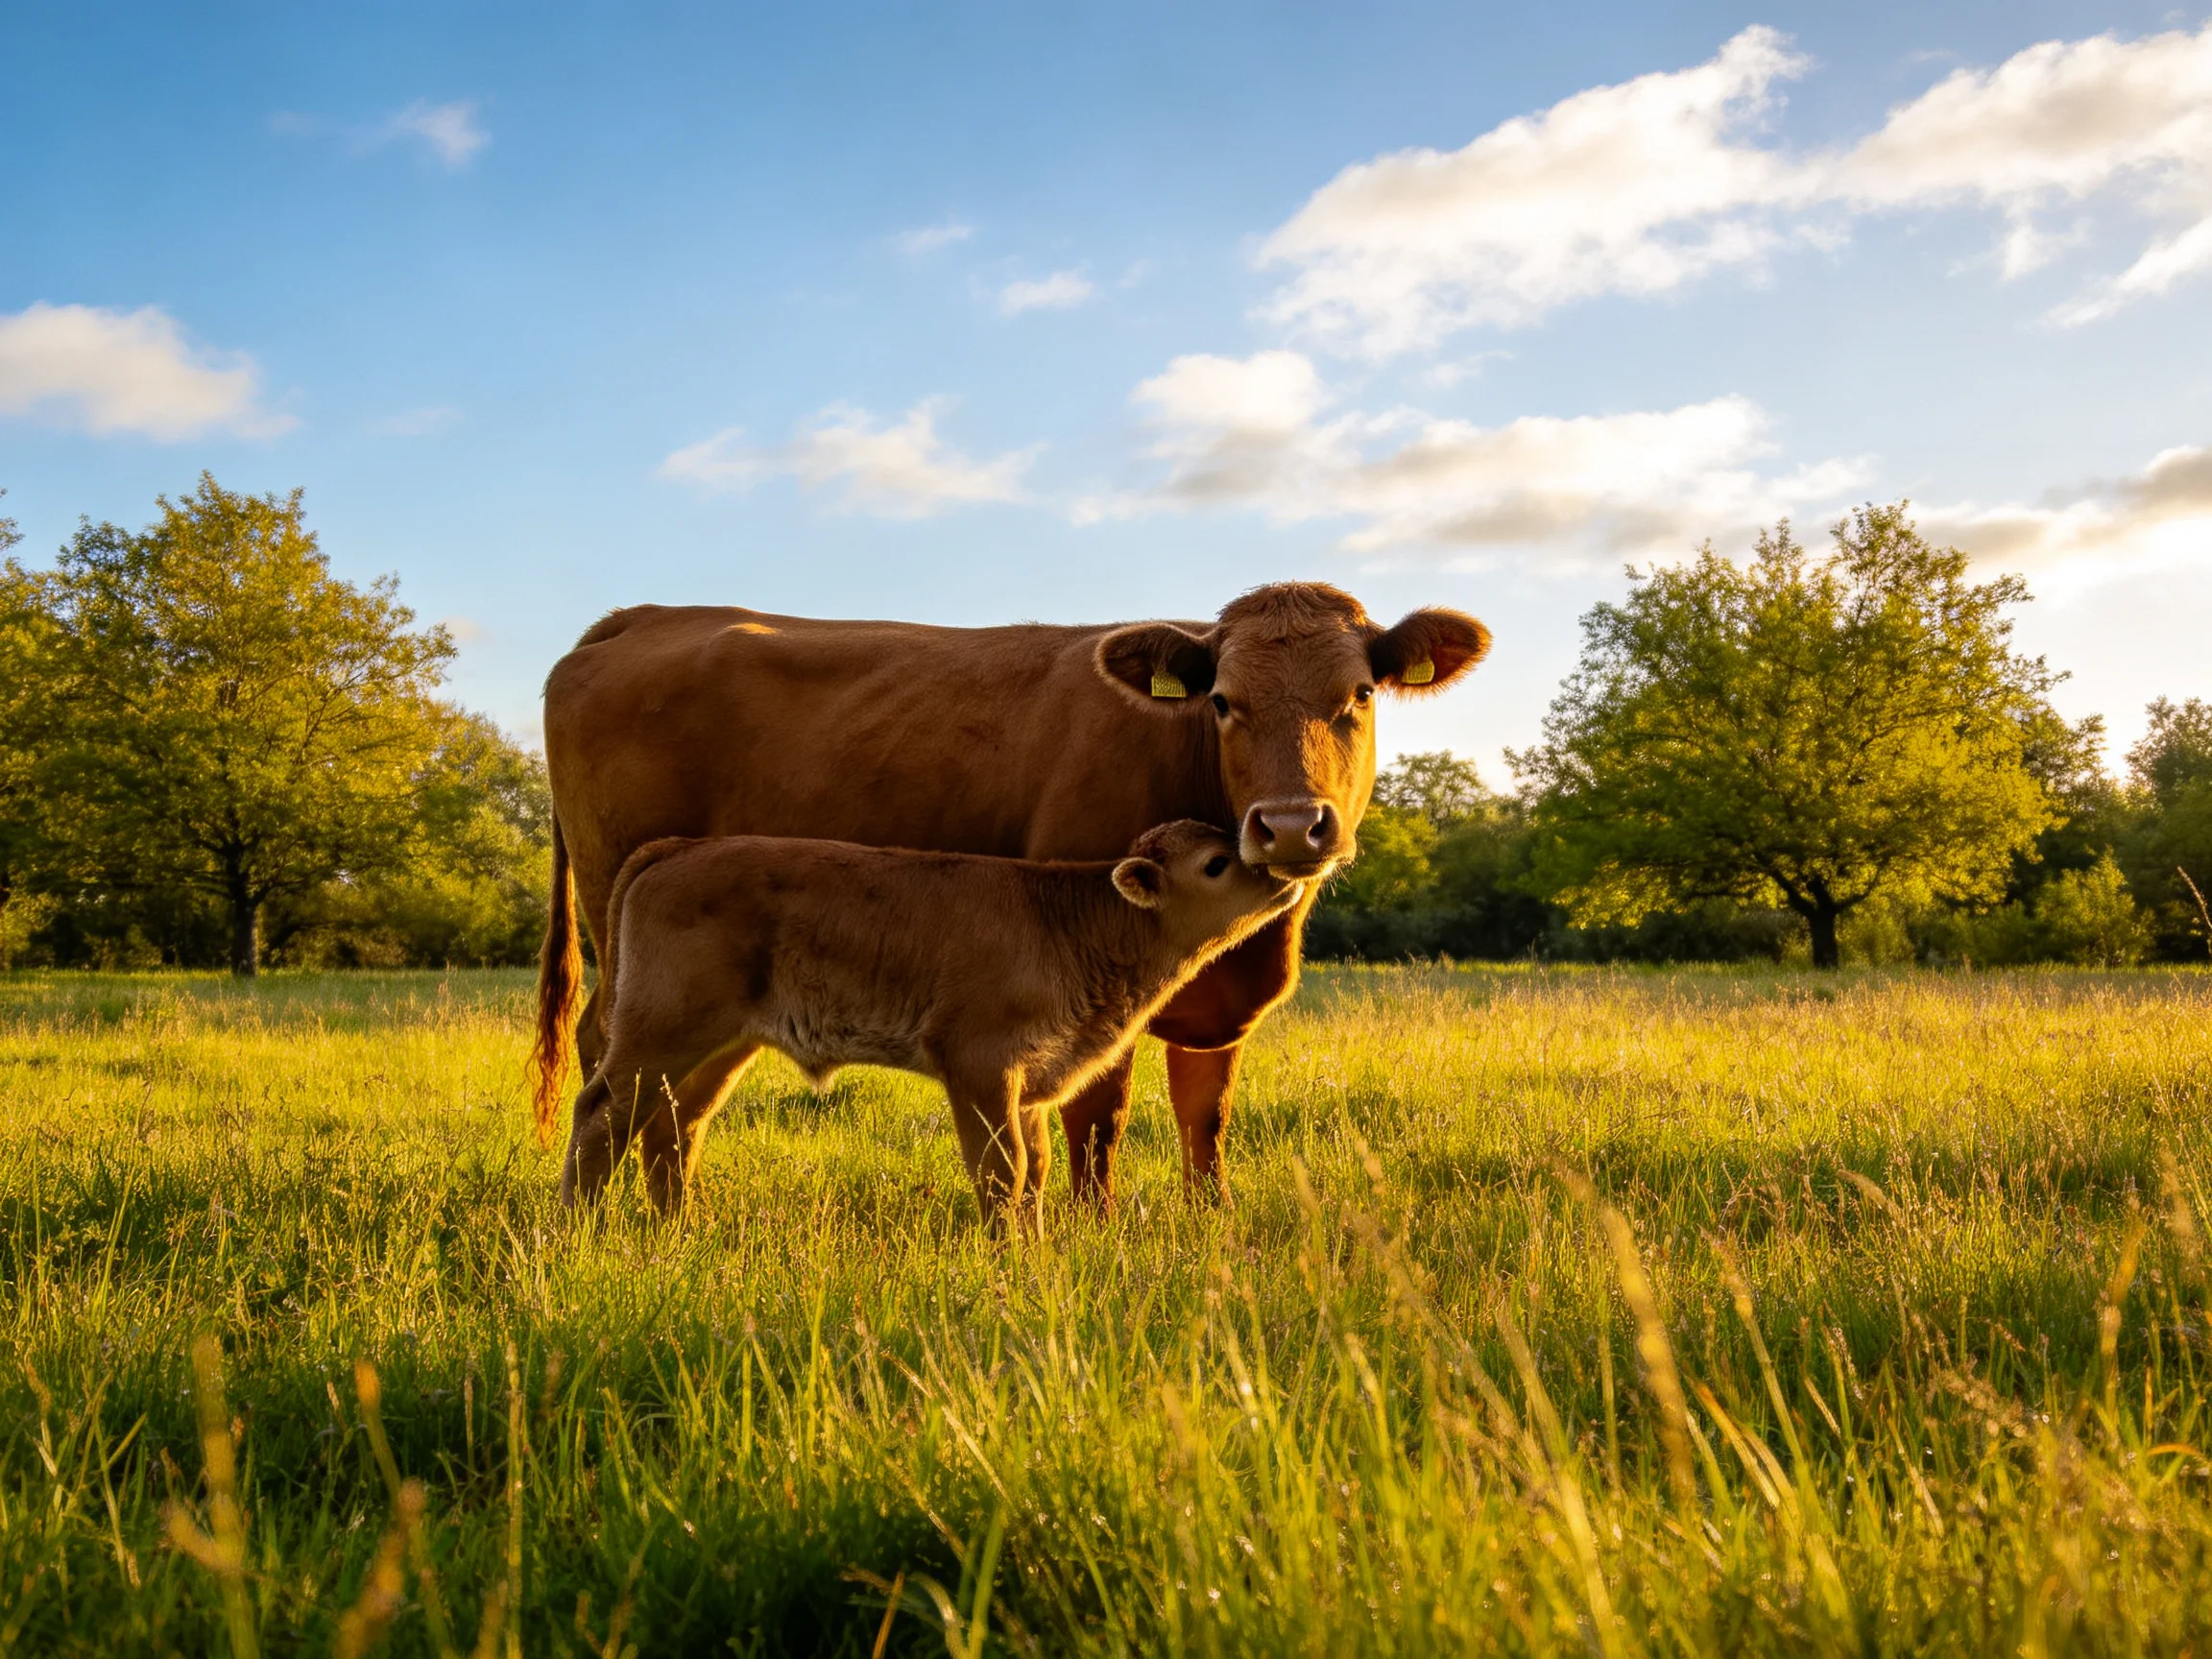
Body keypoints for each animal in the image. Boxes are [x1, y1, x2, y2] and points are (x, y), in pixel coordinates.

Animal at [565, 820, 1307, 1228]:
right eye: (1216, 864)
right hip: (661, 1031)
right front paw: (1006, 1259)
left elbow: (1035, 1171)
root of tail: (678, 849)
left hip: (720, 1046)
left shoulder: (1031, 1084)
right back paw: (580, 1228)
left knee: (672, 1124)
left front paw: (1035, 1251)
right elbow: (1003, 1171)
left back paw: (680, 1228)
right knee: (602, 1114)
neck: (1074, 923)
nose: (1280, 871)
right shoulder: (979, 1064)